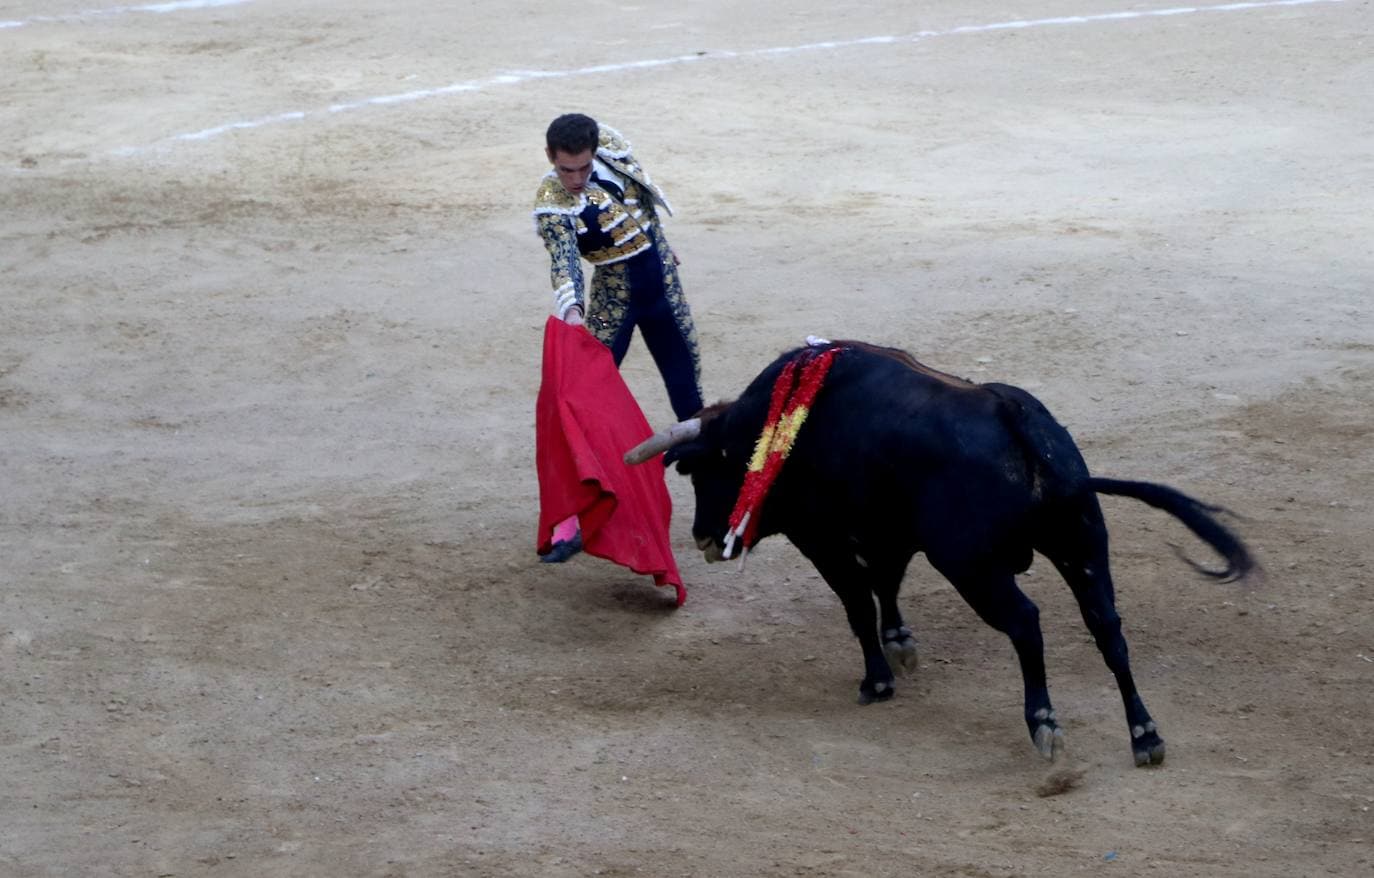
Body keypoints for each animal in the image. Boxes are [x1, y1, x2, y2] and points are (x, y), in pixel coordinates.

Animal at [629, 340, 1258, 763]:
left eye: (703, 472)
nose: (704, 539)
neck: (780, 425)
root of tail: (1019, 421)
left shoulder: (824, 540)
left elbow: (859, 605)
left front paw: (878, 680)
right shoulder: (892, 535)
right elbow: (886, 586)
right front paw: (901, 644)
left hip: (973, 568)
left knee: (1026, 623)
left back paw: (1044, 723)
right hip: (1083, 545)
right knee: (1107, 628)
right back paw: (1145, 735)